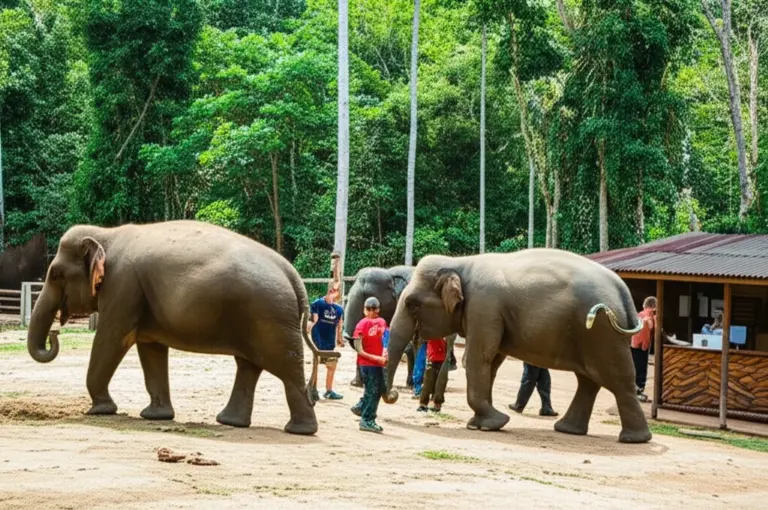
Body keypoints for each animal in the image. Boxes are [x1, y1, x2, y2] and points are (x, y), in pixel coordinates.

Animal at [26, 220, 319, 435]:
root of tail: (292, 274)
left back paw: (299, 430)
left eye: (56, 275)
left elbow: (112, 339)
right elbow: (150, 349)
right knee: (248, 366)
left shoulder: (123, 287)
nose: (54, 333)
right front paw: (155, 416)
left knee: (286, 368)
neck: (107, 233)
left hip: (270, 319)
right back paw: (231, 422)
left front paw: (100, 410)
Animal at [382, 248, 653, 444]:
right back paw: (568, 430)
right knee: (588, 380)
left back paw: (633, 439)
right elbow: (492, 361)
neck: (460, 262)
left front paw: (490, 423)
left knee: (616, 379)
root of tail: (623, 291)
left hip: (602, 332)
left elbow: (478, 357)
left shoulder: (484, 306)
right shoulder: (489, 313)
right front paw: (482, 423)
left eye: (412, 303)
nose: (394, 394)